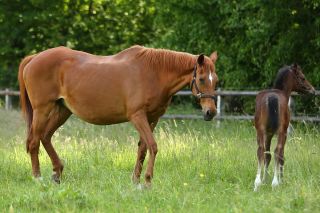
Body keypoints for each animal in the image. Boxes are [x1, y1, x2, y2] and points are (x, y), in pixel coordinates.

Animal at [18, 45, 219, 186]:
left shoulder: (152, 118)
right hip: (42, 110)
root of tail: (34, 58)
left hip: (62, 110)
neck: (153, 73)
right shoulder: (138, 116)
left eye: (215, 80)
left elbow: (143, 148)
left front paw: (136, 181)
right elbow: (153, 146)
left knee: (45, 137)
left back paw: (57, 173)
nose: (211, 112)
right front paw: (147, 180)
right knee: (34, 141)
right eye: (202, 79)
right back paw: (38, 178)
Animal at [255, 63, 316, 191]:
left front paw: (264, 180)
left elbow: (267, 155)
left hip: (260, 131)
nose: (312, 90)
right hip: (281, 132)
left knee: (261, 151)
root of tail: (272, 98)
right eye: (302, 77)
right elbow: (281, 155)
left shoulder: (268, 134)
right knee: (277, 151)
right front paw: (280, 180)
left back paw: (257, 183)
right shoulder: (284, 133)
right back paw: (275, 183)